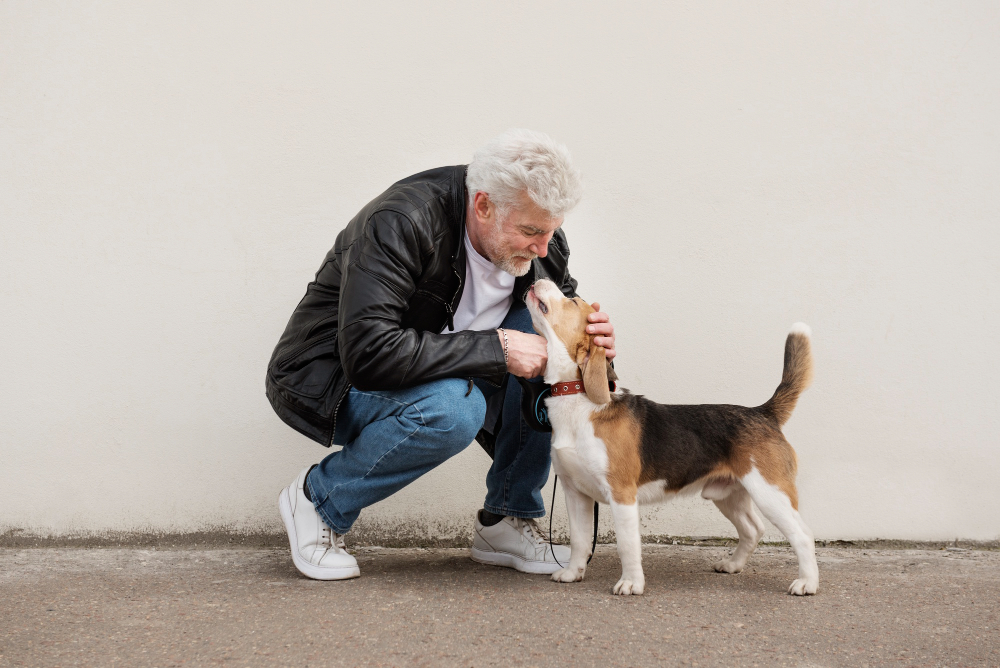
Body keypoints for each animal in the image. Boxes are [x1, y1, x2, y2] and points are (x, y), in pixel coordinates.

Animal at [528, 276, 816, 596]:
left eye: (573, 301)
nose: (540, 278)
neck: (576, 396)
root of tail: (763, 412)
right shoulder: (575, 492)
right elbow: (579, 540)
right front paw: (572, 573)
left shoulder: (622, 494)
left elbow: (627, 545)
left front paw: (631, 582)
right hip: (729, 493)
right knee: (753, 529)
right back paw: (732, 565)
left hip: (770, 492)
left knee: (803, 534)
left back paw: (807, 582)